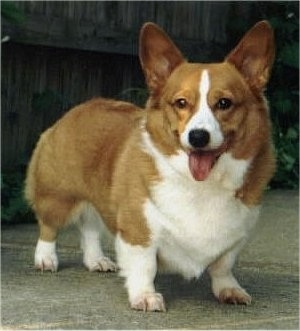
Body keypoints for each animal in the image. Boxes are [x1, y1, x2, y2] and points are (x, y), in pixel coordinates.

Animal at [24, 20, 276, 312]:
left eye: (224, 103)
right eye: (181, 103)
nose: (198, 137)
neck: (200, 184)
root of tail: (77, 109)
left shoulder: (236, 234)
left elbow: (223, 265)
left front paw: (230, 290)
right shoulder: (139, 229)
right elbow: (144, 266)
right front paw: (145, 296)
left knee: (89, 228)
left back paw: (97, 260)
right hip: (57, 197)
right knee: (48, 226)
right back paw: (45, 259)